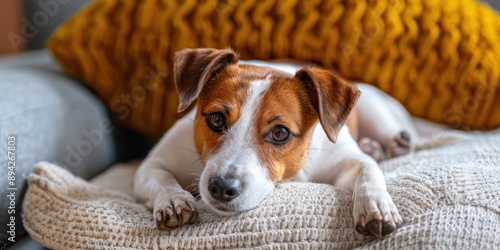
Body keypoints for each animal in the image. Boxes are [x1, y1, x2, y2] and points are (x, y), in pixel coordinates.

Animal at [131, 47, 416, 237]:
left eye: (280, 133)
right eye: (216, 119)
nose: (221, 187)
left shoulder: (345, 160)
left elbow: (368, 169)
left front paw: (375, 205)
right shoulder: (152, 165)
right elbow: (161, 178)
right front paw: (173, 200)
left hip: (376, 112)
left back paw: (388, 146)